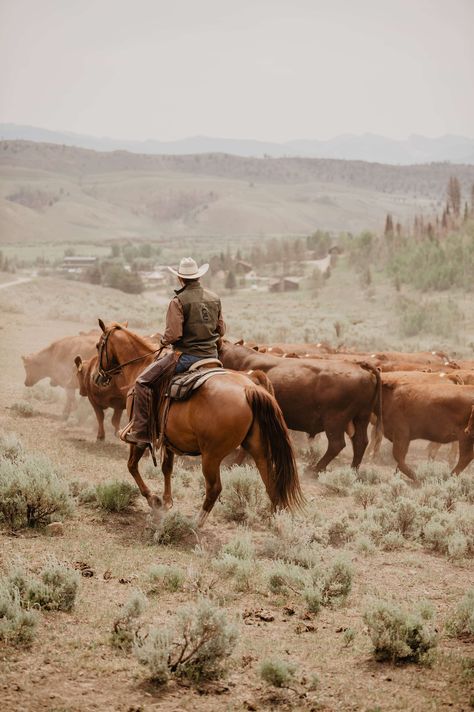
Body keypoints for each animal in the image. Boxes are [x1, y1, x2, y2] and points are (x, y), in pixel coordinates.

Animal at [91, 320, 304, 524]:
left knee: (214, 488)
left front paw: (154, 500)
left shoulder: (139, 436)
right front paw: (166, 501)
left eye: (98, 345)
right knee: (270, 482)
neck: (141, 365)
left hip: (212, 456)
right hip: (258, 448)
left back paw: (196, 523)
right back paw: (275, 520)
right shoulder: (168, 439)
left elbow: (132, 465)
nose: (96, 377)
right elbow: (167, 468)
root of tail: (249, 389)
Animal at [218, 340, 382, 472]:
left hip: (335, 421)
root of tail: (361, 366)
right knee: (360, 442)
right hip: (361, 418)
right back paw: (353, 470)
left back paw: (315, 469)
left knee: (337, 444)